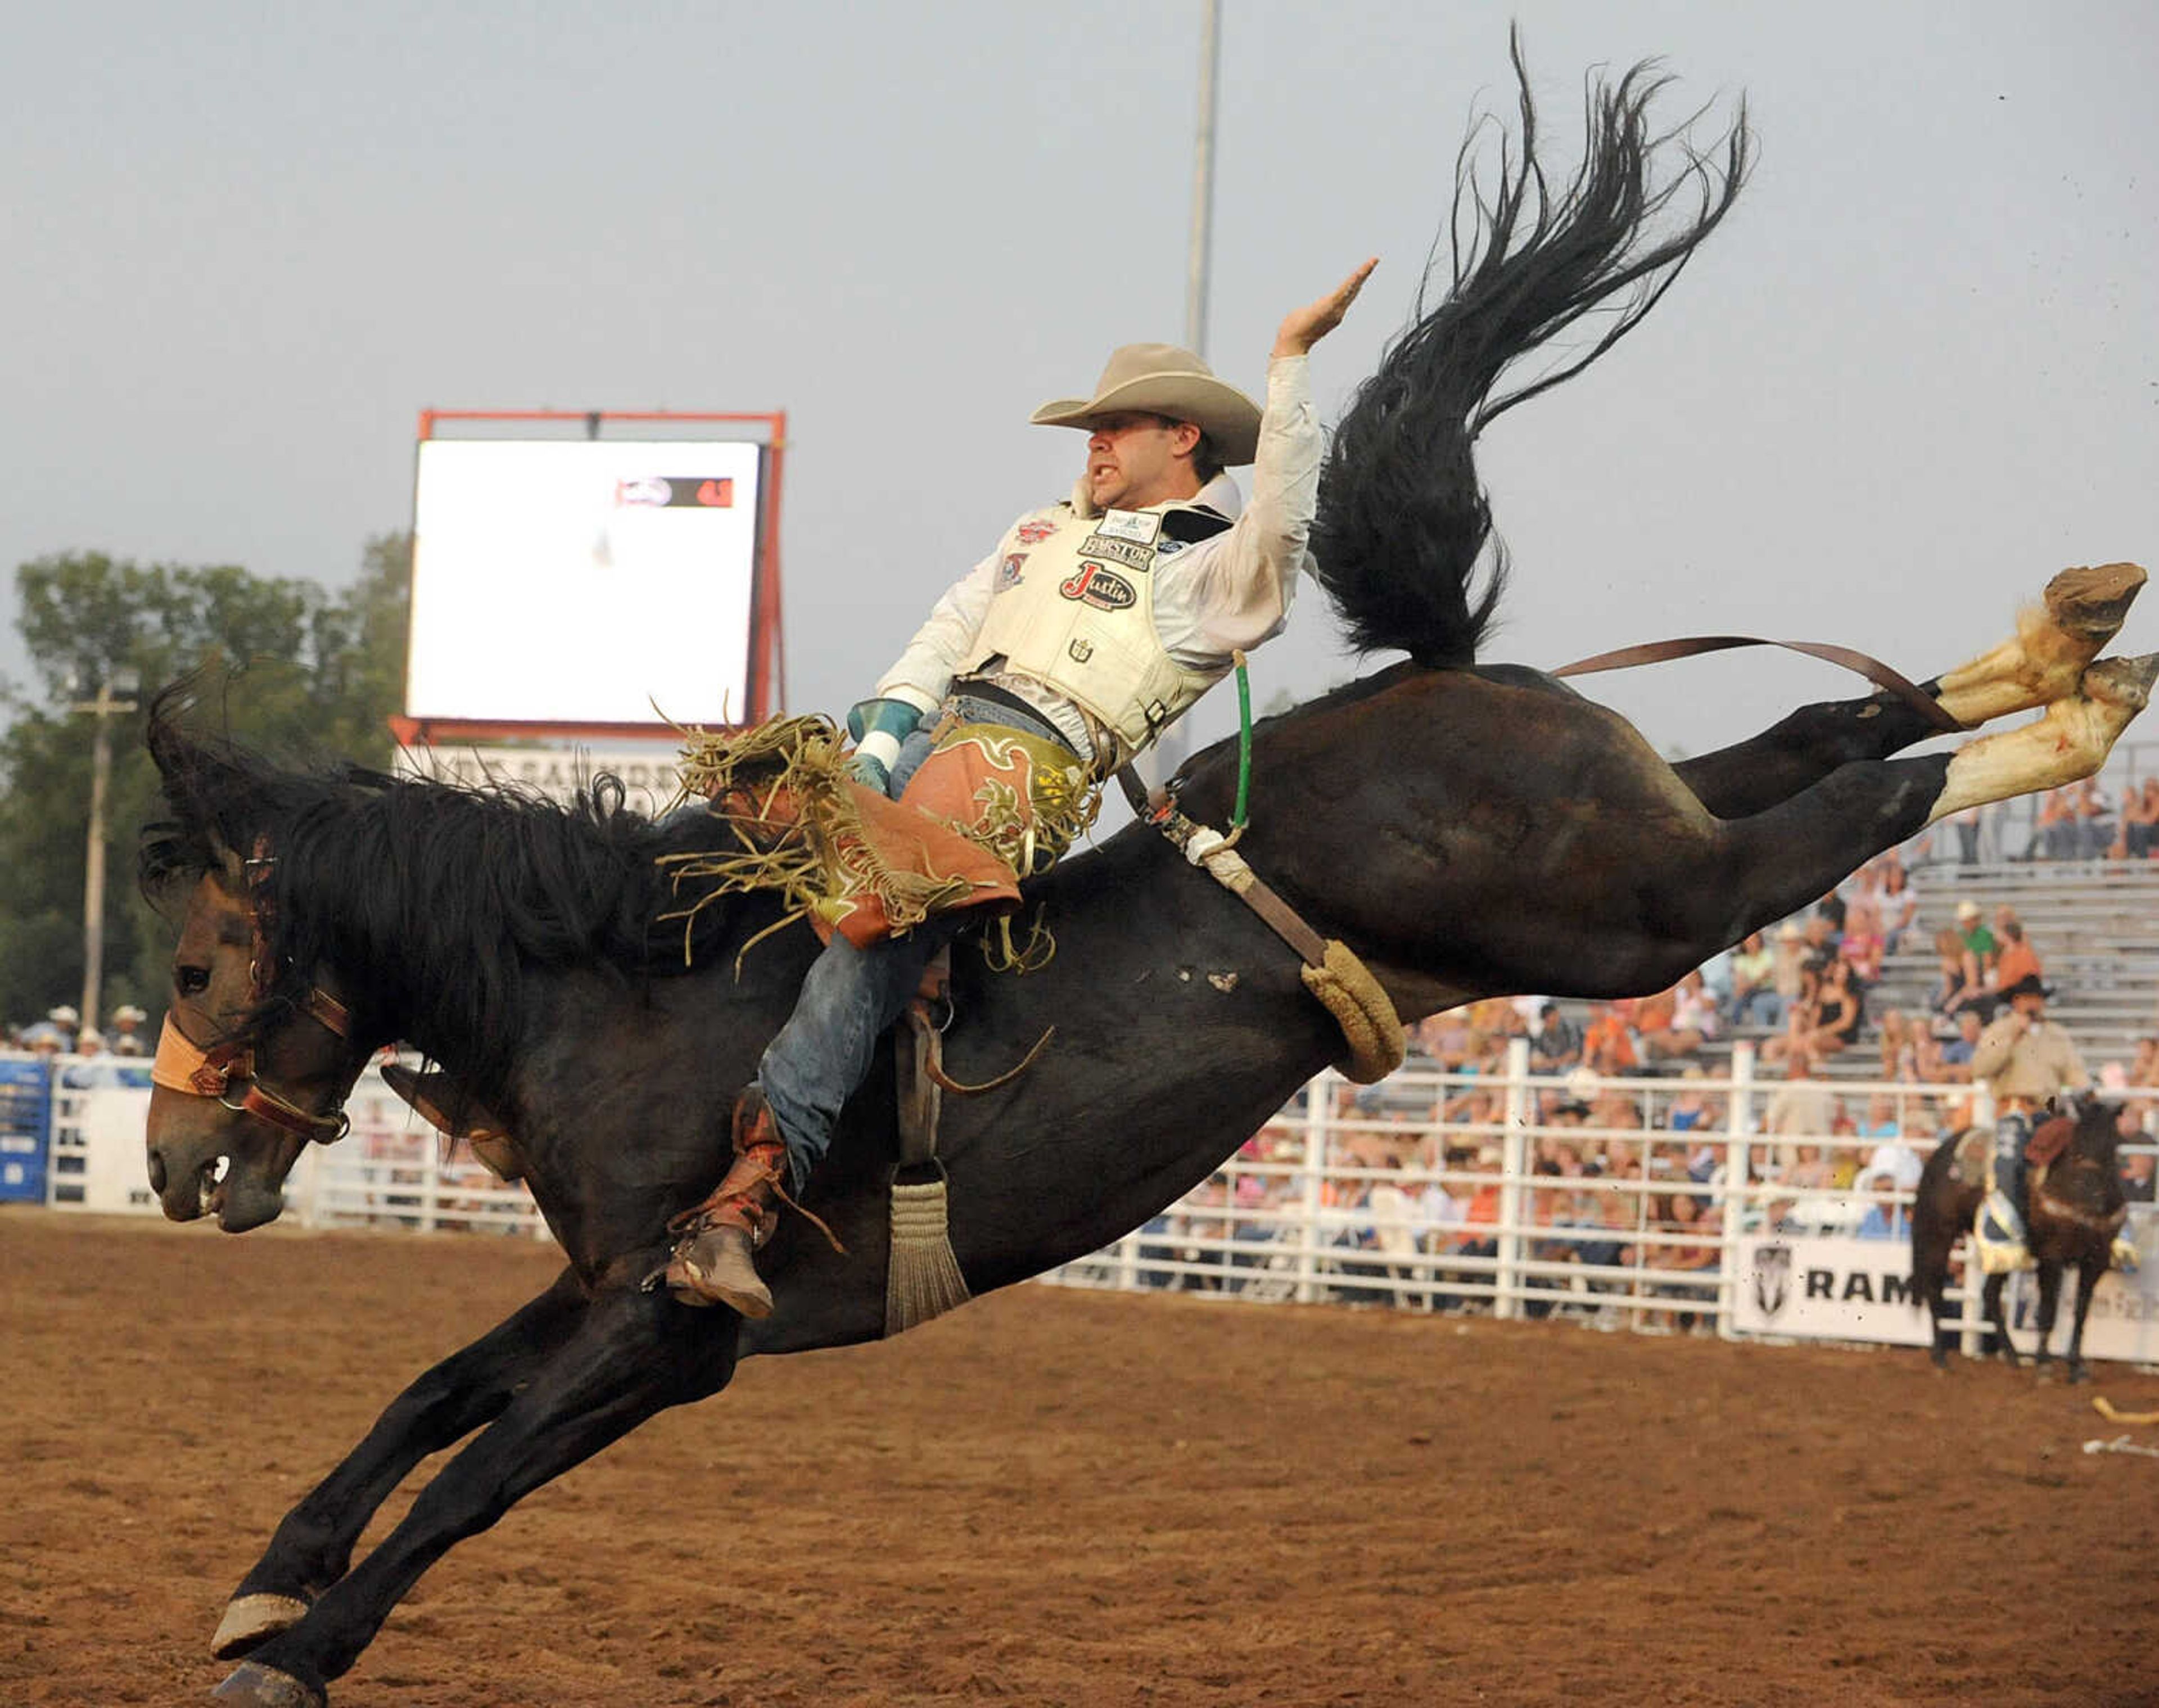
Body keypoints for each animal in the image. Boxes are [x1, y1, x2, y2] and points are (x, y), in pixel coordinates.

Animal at [143, 50, 2150, 1708]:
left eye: (189, 970)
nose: (164, 1164)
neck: (636, 988)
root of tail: (1444, 670)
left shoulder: (670, 1319)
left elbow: (476, 1475)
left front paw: (302, 1642)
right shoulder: (591, 1284)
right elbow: (431, 1394)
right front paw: (270, 1578)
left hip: (1635, 917)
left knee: (1862, 799)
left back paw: (2073, 703)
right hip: (1635, 827)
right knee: (1827, 725)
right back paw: (2062, 641)